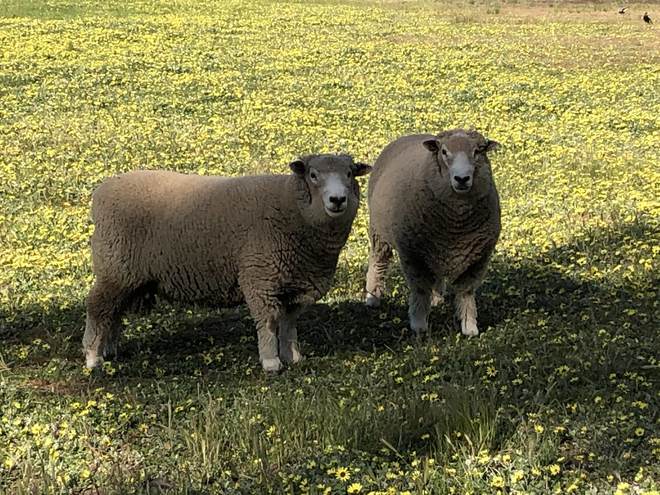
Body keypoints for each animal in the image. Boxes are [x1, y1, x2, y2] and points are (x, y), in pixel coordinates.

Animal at [83, 154, 372, 373]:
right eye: (313, 175)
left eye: (349, 174)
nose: (337, 200)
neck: (291, 208)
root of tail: (100, 194)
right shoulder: (259, 276)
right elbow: (269, 321)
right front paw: (271, 362)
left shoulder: (296, 283)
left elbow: (289, 323)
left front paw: (293, 357)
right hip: (115, 267)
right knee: (97, 307)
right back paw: (93, 357)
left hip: (128, 276)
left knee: (114, 311)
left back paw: (110, 350)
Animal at [364, 129, 501, 337]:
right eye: (444, 152)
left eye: (478, 151)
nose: (462, 179)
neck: (456, 227)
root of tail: (412, 134)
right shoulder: (413, 254)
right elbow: (420, 289)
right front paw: (419, 325)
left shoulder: (478, 258)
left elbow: (466, 292)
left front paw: (469, 326)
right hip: (379, 232)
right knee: (379, 262)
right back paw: (372, 297)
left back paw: (436, 299)